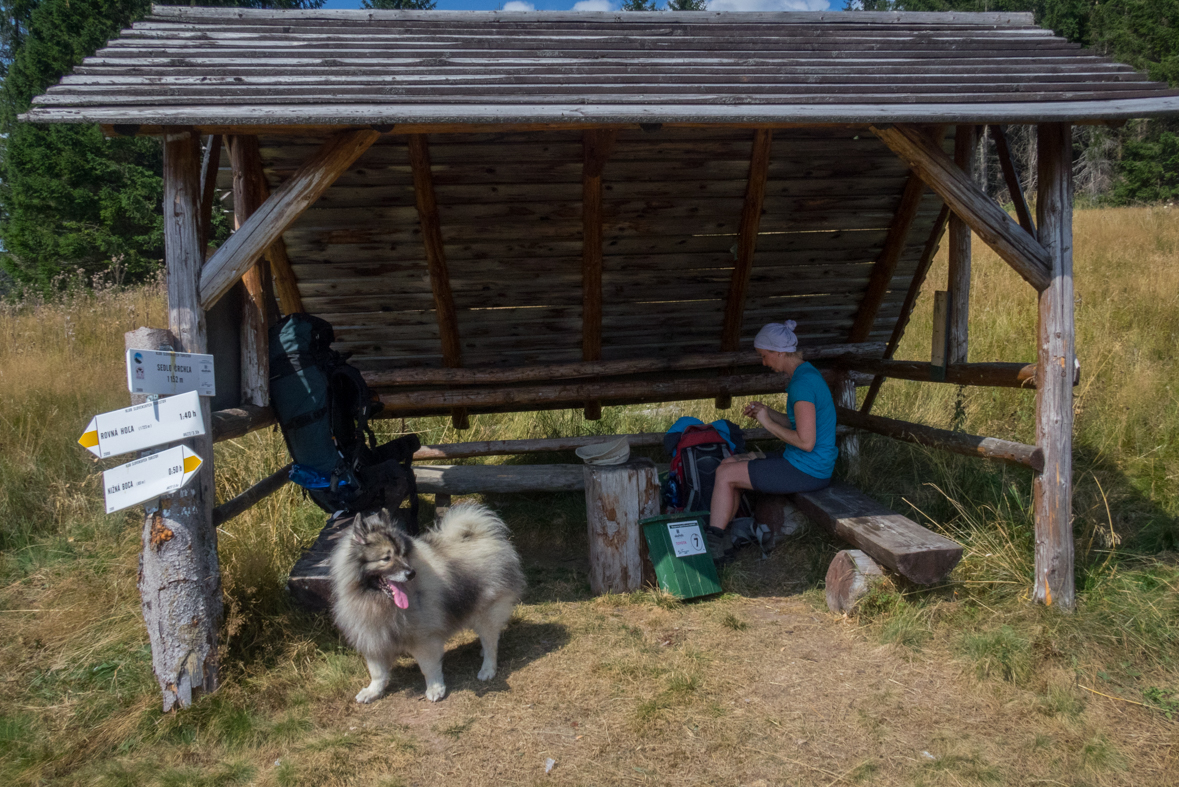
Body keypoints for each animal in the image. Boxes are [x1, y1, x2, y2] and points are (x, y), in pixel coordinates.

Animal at [325, 501, 523, 702]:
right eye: (386, 558)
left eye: (403, 554)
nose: (411, 573)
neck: (378, 600)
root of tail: (484, 536)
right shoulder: (373, 636)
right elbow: (377, 672)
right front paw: (372, 691)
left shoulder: (424, 639)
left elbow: (428, 667)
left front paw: (435, 688)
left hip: (486, 612)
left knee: (491, 643)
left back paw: (488, 668)